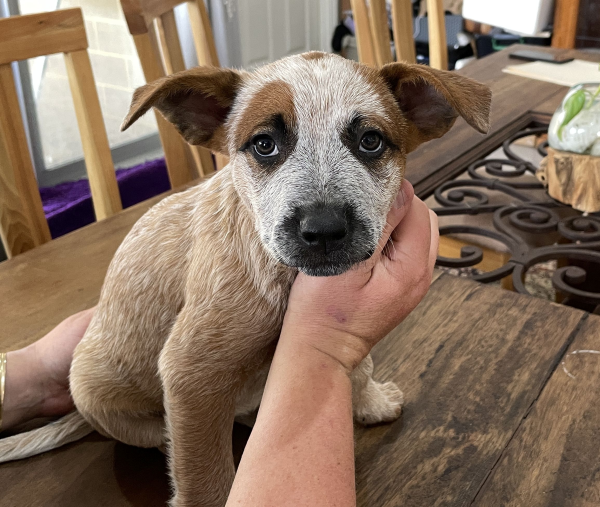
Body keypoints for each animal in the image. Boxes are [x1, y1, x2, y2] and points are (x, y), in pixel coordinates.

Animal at [0, 52, 490, 507]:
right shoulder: (190, 373)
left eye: (371, 140)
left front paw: (369, 401)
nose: (323, 229)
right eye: (264, 144)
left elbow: (359, 361)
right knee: (162, 435)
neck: (281, 277)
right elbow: (206, 479)